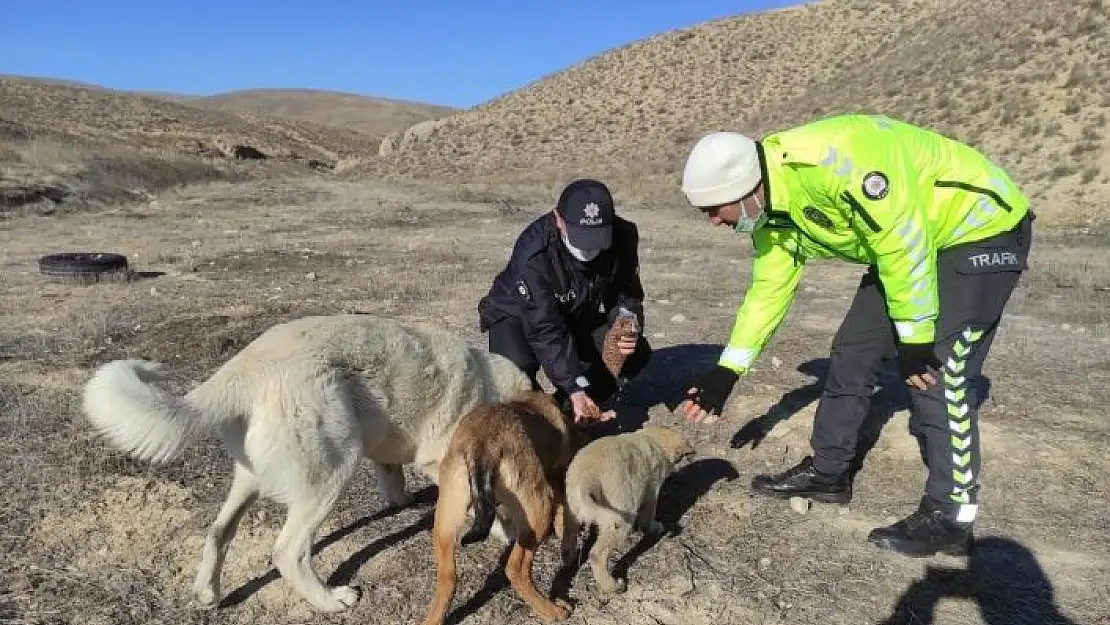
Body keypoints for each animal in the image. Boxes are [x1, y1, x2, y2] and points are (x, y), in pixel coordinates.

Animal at [82, 313, 532, 612]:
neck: (494, 390)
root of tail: (242, 368)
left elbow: (393, 476)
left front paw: (400, 499)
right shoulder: (444, 461)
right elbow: (483, 501)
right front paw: (501, 528)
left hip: (249, 479)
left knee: (218, 532)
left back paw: (208, 593)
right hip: (331, 475)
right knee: (289, 552)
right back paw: (331, 601)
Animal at [419, 390, 581, 625]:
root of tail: (480, 445)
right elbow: (567, 515)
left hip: (445, 522)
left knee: (447, 578)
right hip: (539, 510)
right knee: (516, 569)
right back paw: (552, 610)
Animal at [563, 428, 692, 595]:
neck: (652, 438)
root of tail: (587, 476)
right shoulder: (651, 492)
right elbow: (649, 516)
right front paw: (655, 527)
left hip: (573, 512)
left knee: (568, 541)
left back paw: (569, 560)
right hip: (622, 517)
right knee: (597, 554)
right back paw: (612, 586)